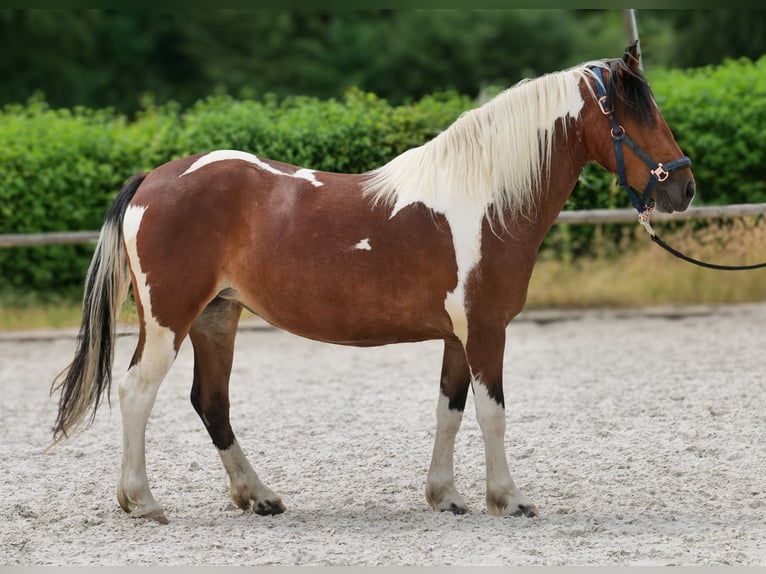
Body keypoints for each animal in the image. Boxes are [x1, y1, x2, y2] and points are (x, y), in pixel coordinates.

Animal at [51, 42, 694, 524]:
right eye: (636, 115)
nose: (683, 189)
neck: (485, 200)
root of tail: (153, 180)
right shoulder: (487, 330)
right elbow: (492, 413)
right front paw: (508, 499)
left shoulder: (458, 336)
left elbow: (449, 409)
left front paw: (445, 496)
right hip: (170, 321)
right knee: (137, 392)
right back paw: (142, 501)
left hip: (216, 317)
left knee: (211, 403)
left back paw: (258, 497)